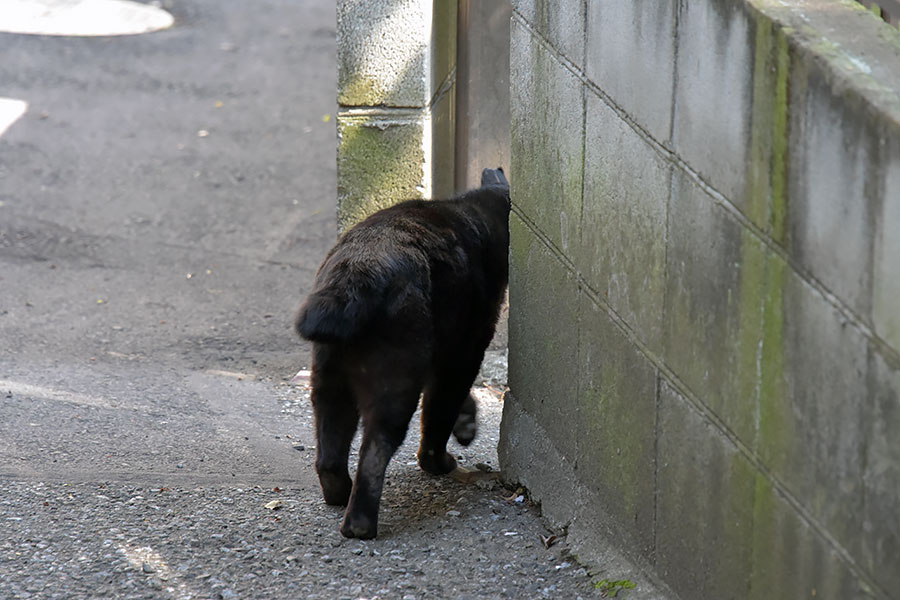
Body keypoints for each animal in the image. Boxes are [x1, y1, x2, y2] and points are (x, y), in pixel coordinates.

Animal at [296, 169, 506, 540]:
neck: (479, 215)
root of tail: (354, 274)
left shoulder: (444, 355)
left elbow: (453, 402)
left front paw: (466, 424)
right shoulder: (464, 351)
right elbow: (440, 411)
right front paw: (438, 462)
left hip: (330, 382)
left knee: (329, 456)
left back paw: (339, 494)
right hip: (394, 382)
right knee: (376, 448)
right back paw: (360, 524)